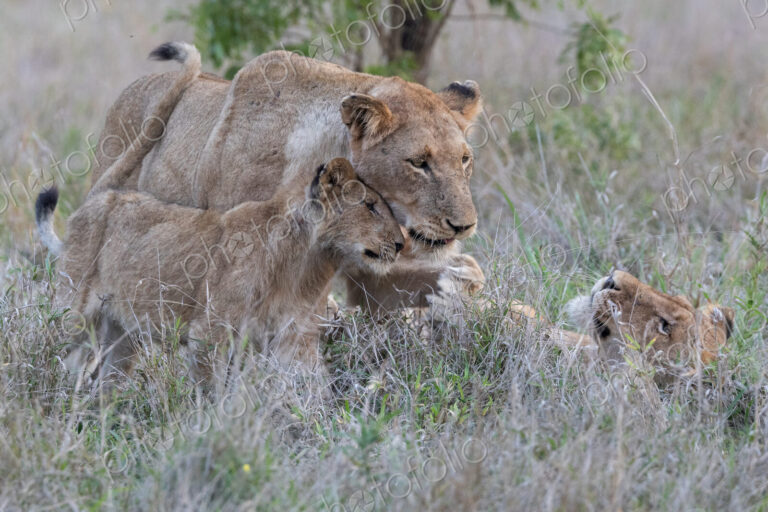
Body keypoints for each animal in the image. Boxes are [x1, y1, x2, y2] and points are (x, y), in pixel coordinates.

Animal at [36, 158, 404, 385]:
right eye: (370, 206)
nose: (401, 243)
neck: (305, 261)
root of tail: (89, 204)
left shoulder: (279, 339)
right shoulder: (208, 336)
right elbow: (212, 394)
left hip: (123, 333)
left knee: (104, 384)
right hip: (73, 314)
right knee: (50, 354)